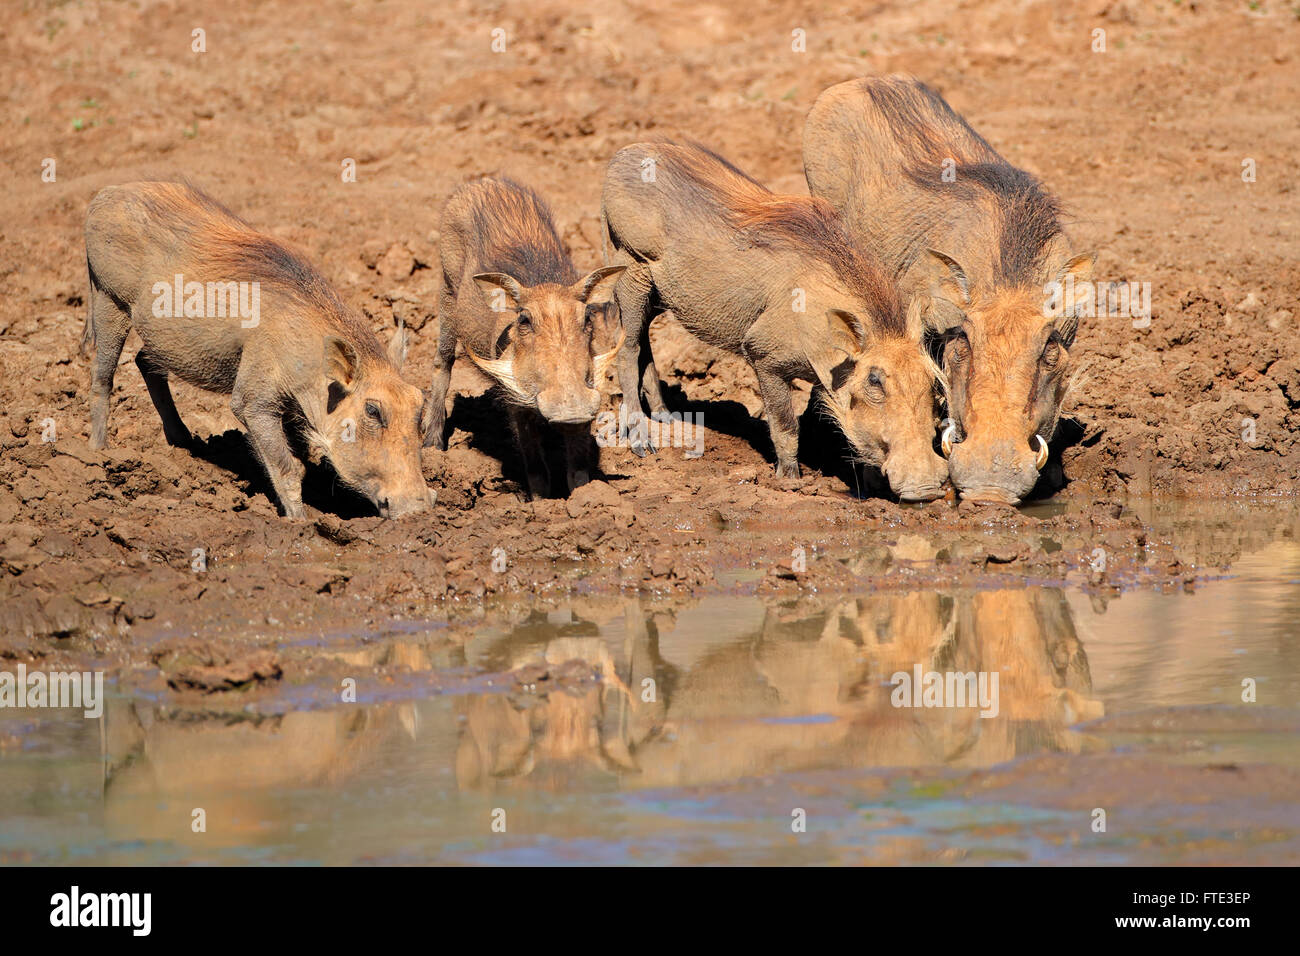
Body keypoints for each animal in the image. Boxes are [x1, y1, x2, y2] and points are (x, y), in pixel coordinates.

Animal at [83, 182, 434, 520]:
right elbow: (288, 468)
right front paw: (301, 524)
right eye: (372, 411)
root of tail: (105, 194)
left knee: (144, 362)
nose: (418, 510)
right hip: (108, 299)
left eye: (420, 403)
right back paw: (98, 453)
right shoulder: (254, 403)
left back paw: (183, 442)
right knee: (102, 376)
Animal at [428, 174, 626, 496]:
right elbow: (534, 465)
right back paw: (431, 444)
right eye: (524, 320)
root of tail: (483, 181)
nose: (570, 406)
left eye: (586, 317)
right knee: (442, 362)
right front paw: (541, 502)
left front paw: (583, 497)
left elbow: (577, 465)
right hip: (446, 292)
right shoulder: (514, 400)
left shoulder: (588, 398)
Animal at [598, 141, 946, 504]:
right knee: (627, 350)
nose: (926, 489)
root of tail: (624, 153)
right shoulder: (764, 357)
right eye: (874, 380)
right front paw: (790, 482)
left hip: (660, 295)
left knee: (644, 345)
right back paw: (640, 439)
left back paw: (667, 417)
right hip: (631, 271)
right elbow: (785, 425)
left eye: (933, 382)